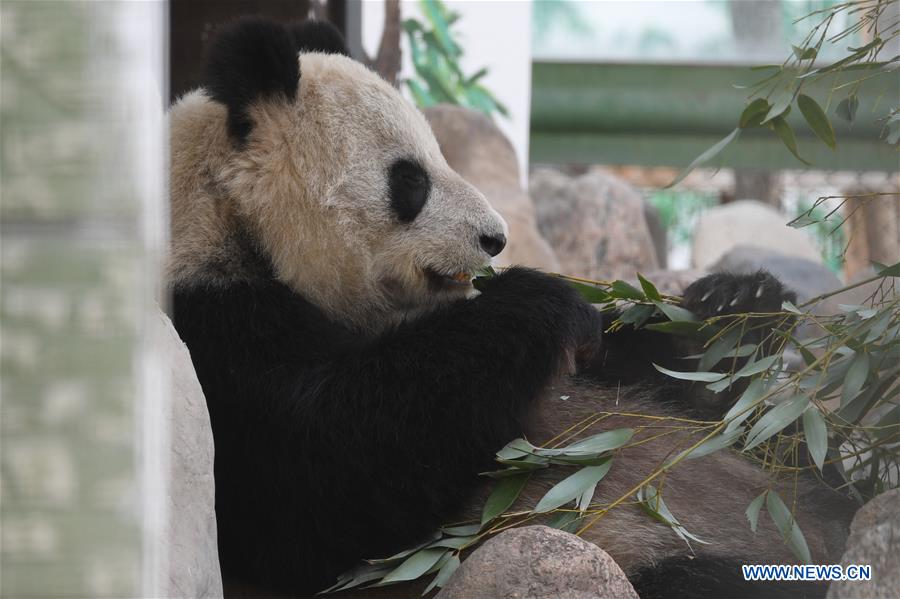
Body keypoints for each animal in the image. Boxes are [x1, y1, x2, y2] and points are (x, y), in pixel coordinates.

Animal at [168, 18, 853, 599]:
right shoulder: (219, 341)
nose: (495, 239)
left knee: (793, 444)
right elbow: (332, 472)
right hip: (641, 555)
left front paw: (736, 308)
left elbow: (652, 365)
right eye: (410, 180)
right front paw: (542, 301)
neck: (234, 223)